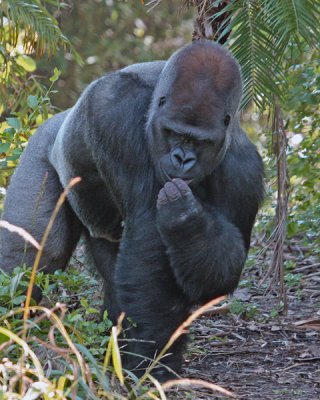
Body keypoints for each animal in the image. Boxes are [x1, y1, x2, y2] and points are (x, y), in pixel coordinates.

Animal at [0, 41, 264, 382]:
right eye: (173, 133)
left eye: (201, 142)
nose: (182, 159)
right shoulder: (116, 110)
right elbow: (148, 235)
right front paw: (150, 365)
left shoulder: (245, 172)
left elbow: (218, 279)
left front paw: (188, 221)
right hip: (41, 146)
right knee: (38, 252)